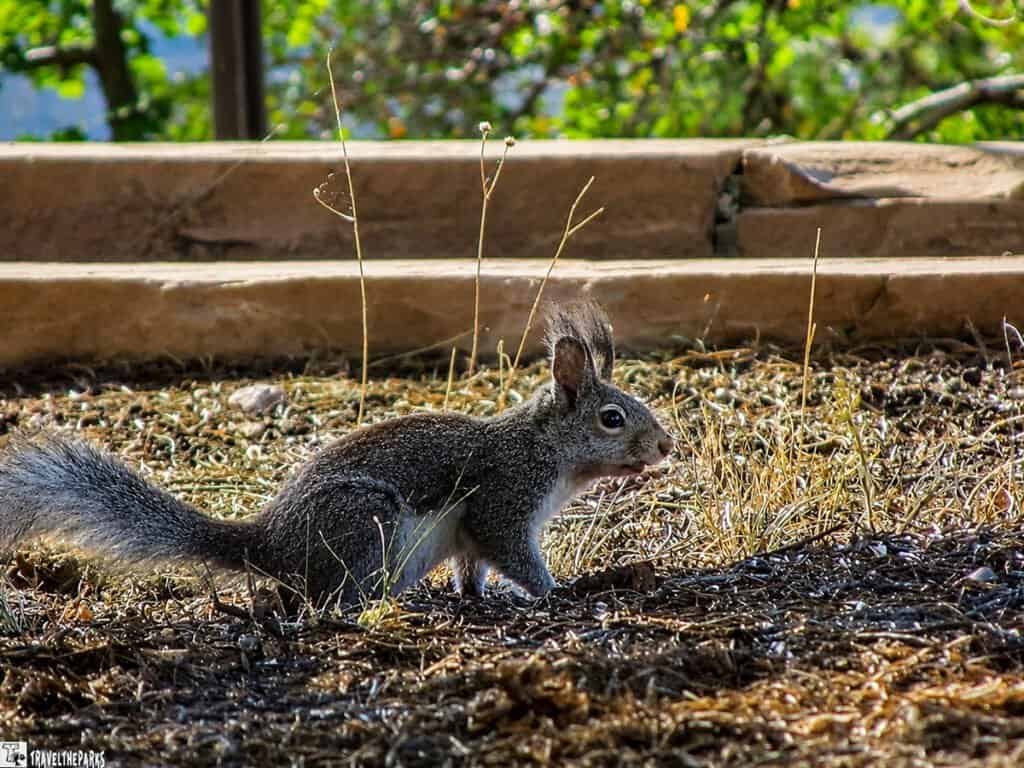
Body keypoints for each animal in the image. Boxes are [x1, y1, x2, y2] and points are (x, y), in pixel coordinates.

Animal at [0, 300, 672, 608]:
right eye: (612, 419)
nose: (665, 447)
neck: (545, 449)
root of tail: (271, 545)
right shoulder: (505, 497)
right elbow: (512, 552)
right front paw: (557, 590)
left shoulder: (473, 532)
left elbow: (472, 565)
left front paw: (475, 596)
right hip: (364, 523)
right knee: (335, 595)